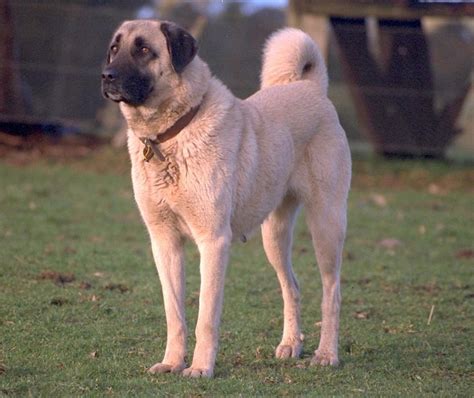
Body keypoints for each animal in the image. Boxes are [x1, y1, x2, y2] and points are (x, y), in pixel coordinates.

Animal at [101, 19, 352, 380]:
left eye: (144, 49)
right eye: (114, 48)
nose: (106, 75)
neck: (173, 133)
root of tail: (311, 89)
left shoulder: (213, 242)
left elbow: (206, 317)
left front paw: (200, 368)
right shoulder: (164, 242)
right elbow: (174, 313)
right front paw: (172, 362)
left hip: (326, 225)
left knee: (331, 292)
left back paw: (326, 354)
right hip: (274, 236)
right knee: (292, 286)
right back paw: (291, 344)